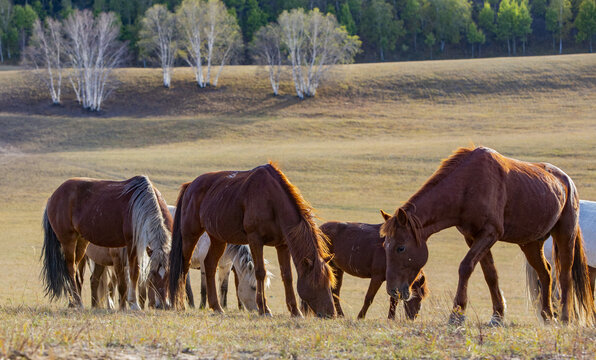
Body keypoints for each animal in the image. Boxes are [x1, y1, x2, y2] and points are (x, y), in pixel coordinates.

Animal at [41, 175, 172, 310]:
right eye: (153, 273)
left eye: (169, 274)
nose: (164, 304)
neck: (142, 205)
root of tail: (53, 197)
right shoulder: (132, 244)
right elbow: (134, 273)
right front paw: (133, 304)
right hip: (68, 240)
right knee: (71, 268)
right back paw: (78, 302)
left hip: (81, 242)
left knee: (76, 270)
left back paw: (73, 303)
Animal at [170, 163, 338, 318]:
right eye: (317, 283)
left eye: (329, 283)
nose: (331, 314)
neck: (272, 200)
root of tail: (190, 185)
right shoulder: (255, 240)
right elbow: (260, 272)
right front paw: (264, 309)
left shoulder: (282, 245)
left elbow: (287, 276)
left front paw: (295, 311)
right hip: (190, 235)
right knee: (184, 266)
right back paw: (180, 304)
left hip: (217, 239)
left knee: (210, 265)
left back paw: (217, 307)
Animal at [380, 146, 592, 324]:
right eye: (385, 247)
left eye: (401, 247)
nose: (393, 290)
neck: (467, 185)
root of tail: (566, 180)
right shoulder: (472, 237)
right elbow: (490, 274)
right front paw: (497, 315)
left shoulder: (489, 233)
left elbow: (466, 267)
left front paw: (457, 314)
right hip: (530, 243)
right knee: (546, 273)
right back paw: (547, 315)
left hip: (565, 233)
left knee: (564, 275)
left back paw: (565, 318)